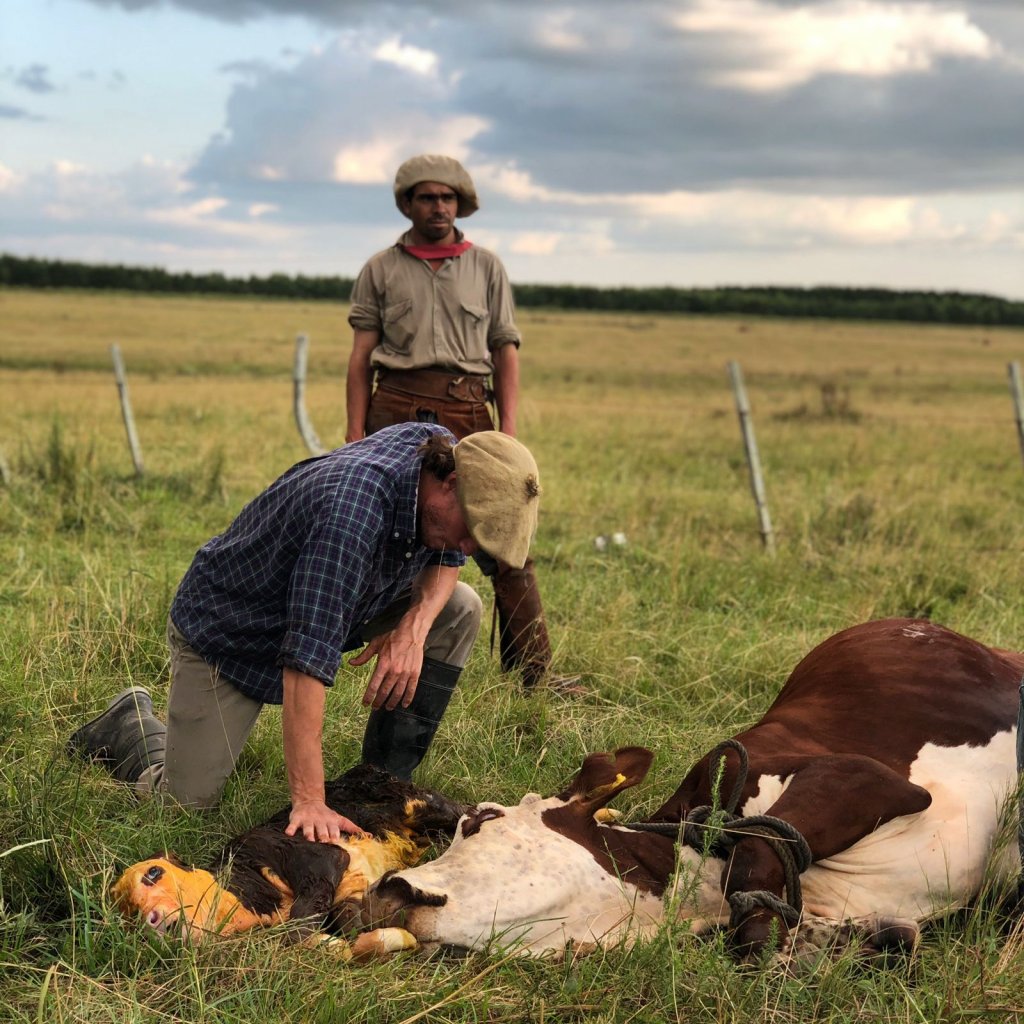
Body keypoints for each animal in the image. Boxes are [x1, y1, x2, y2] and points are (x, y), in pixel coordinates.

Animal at [111, 761, 464, 950]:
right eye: (126, 909)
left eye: (153, 872)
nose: (151, 922)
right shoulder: (343, 891)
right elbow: (347, 917)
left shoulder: (319, 857)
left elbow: (298, 925)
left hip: (417, 802)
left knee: (458, 810)